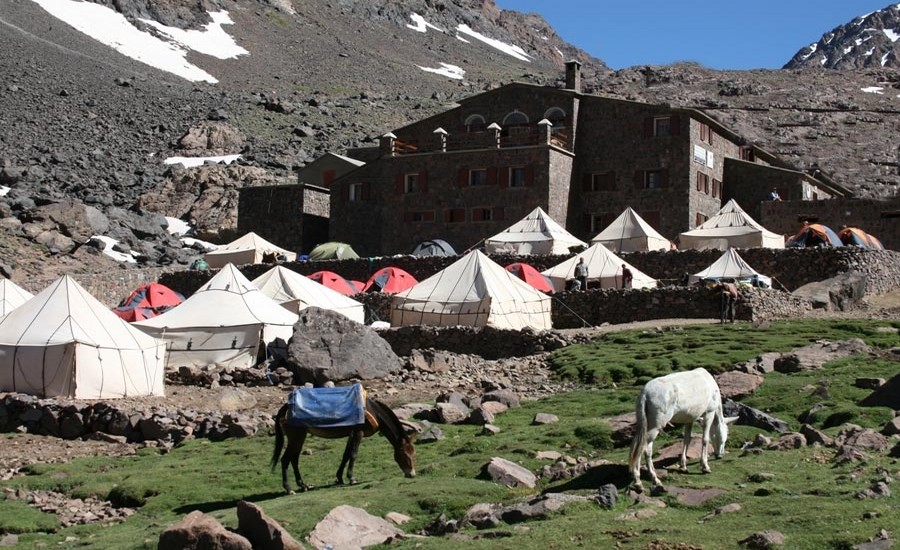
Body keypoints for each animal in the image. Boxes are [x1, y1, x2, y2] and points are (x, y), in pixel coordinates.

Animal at [270, 396, 418, 496]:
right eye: (404, 454)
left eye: (414, 454)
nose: (412, 474)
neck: (371, 410)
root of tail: (286, 407)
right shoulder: (358, 432)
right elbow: (353, 454)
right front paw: (351, 478)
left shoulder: (351, 434)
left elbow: (346, 455)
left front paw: (340, 478)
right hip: (297, 437)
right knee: (286, 459)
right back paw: (289, 489)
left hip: (298, 438)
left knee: (294, 459)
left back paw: (303, 485)